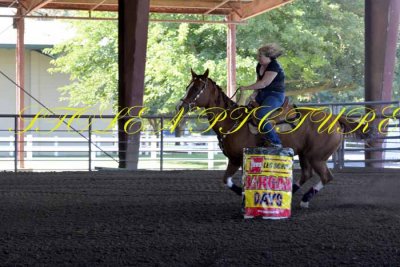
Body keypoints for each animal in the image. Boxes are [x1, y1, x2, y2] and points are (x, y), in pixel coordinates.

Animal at [177, 69, 370, 207]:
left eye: (197, 88)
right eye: (187, 87)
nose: (181, 106)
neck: (233, 121)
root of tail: (335, 119)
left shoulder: (236, 159)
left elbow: (227, 180)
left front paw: (244, 197)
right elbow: (230, 180)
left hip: (317, 157)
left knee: (326, 177)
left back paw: (304, 200)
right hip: (304, 154)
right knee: (306, 174)